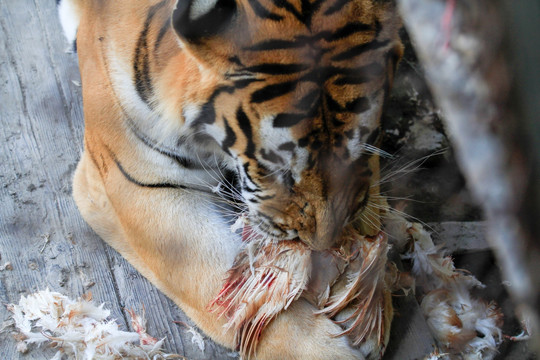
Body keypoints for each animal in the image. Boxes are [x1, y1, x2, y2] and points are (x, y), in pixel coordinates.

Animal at [59, 0, 402, 358]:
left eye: (364, 145)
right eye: (278, 166)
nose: (322, 245)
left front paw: (360, 293)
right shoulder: (137, 185)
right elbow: (232, 290)